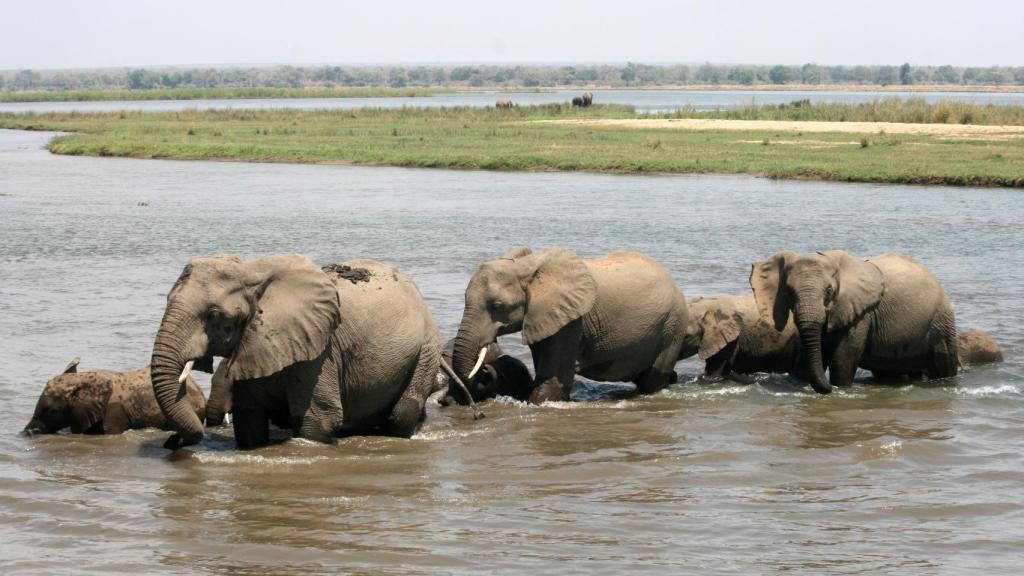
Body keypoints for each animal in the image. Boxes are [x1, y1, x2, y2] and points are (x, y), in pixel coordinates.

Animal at [151, 254, 440, 448]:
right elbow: (249, 422)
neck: (251, 271)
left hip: (426, 349)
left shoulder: (320, 351)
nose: (172, 441)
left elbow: (318, 421)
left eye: (212, 315)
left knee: (401, 414)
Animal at [448, 243, 688, 401]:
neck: (525, 267)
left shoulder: (571, 321)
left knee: (653, 379)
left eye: (497, 305)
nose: (487, 366)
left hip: (672, 325)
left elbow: (553, 381)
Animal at [745, 249, 958, 391]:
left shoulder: (862, 314)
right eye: (788, 292)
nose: (828, 389)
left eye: (829, 291)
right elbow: (806, 359)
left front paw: (839, 388)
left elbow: (843, 359)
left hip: (941, 320)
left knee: (943, 365)